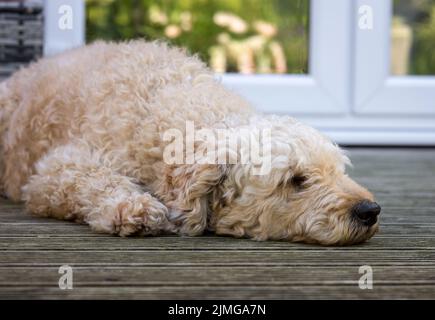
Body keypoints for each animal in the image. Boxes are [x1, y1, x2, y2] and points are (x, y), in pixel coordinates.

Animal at [0, 40, 380, 245]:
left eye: (338, 171)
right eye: (296, 180)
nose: (370, 211)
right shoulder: (53, 171)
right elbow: (90, 179)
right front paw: (133, 207)